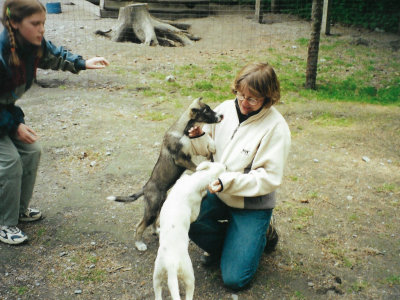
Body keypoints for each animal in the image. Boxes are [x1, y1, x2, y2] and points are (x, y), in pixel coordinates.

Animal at [108, 98, 223, 251]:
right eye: (206, 111)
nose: (221, 116)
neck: (183, 131)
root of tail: (145, 188)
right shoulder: (180, 158)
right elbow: (196, 167)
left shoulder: (192, 150)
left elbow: (205, 141)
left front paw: (212, 147)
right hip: (151, 209)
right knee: (139, 226)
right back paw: (139, 244)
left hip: (159, 205)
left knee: (152, 222)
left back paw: (157, 231)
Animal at [153, 162, 227, 300]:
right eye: (224, 169)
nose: (225, 164)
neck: (194, 181)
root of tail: (171, 264)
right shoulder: (195, 212)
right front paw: (204, 194)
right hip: (188, 275)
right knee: (189, 291)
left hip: (157, 275)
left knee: (157, 292)